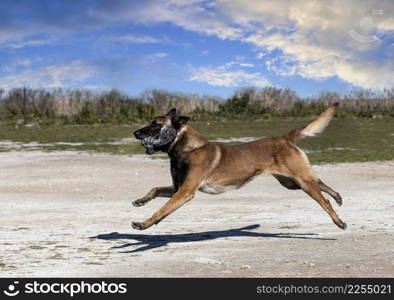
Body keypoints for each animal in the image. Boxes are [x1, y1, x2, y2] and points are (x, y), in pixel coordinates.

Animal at [132, 104, 344, 231]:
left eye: (156, 125)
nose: (135, 133)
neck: (188, 148)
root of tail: (284, 137)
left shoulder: (185, 192)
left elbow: (162, 210)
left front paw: (144, 223)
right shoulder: (178, 188)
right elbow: (154, 189)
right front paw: (141, 201)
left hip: (300, 181)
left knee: (324, 200)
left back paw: (339, 221)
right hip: (292, 183)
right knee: (319, 182)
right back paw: (338, 197)